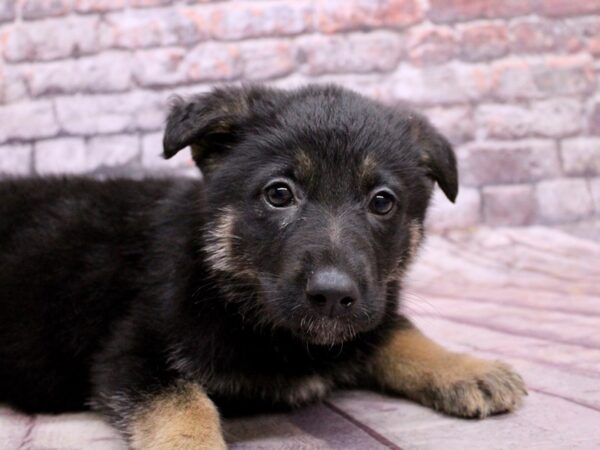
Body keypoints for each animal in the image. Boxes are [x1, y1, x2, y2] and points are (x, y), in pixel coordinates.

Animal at [0, 83, 524, 446]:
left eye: (382, 202)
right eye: (279, 194)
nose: (332, 295)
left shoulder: (366, 312)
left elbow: (395, 331)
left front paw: (465, 367)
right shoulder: (132, 355)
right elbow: (186, 406)